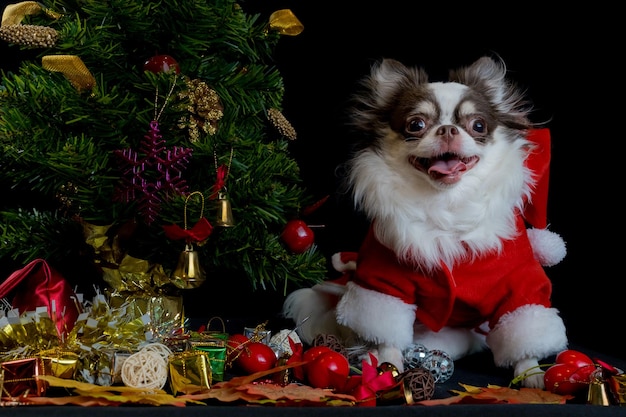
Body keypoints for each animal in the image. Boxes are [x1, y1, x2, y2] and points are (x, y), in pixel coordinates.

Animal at [282, 55, 564, 386]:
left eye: (478, 125)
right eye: (416, 124)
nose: (448, 130)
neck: (447, 203)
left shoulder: (518, 284)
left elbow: (525, 328)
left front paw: (532, 375)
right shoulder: (385, 282)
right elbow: (387, 332)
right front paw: (388, 364)